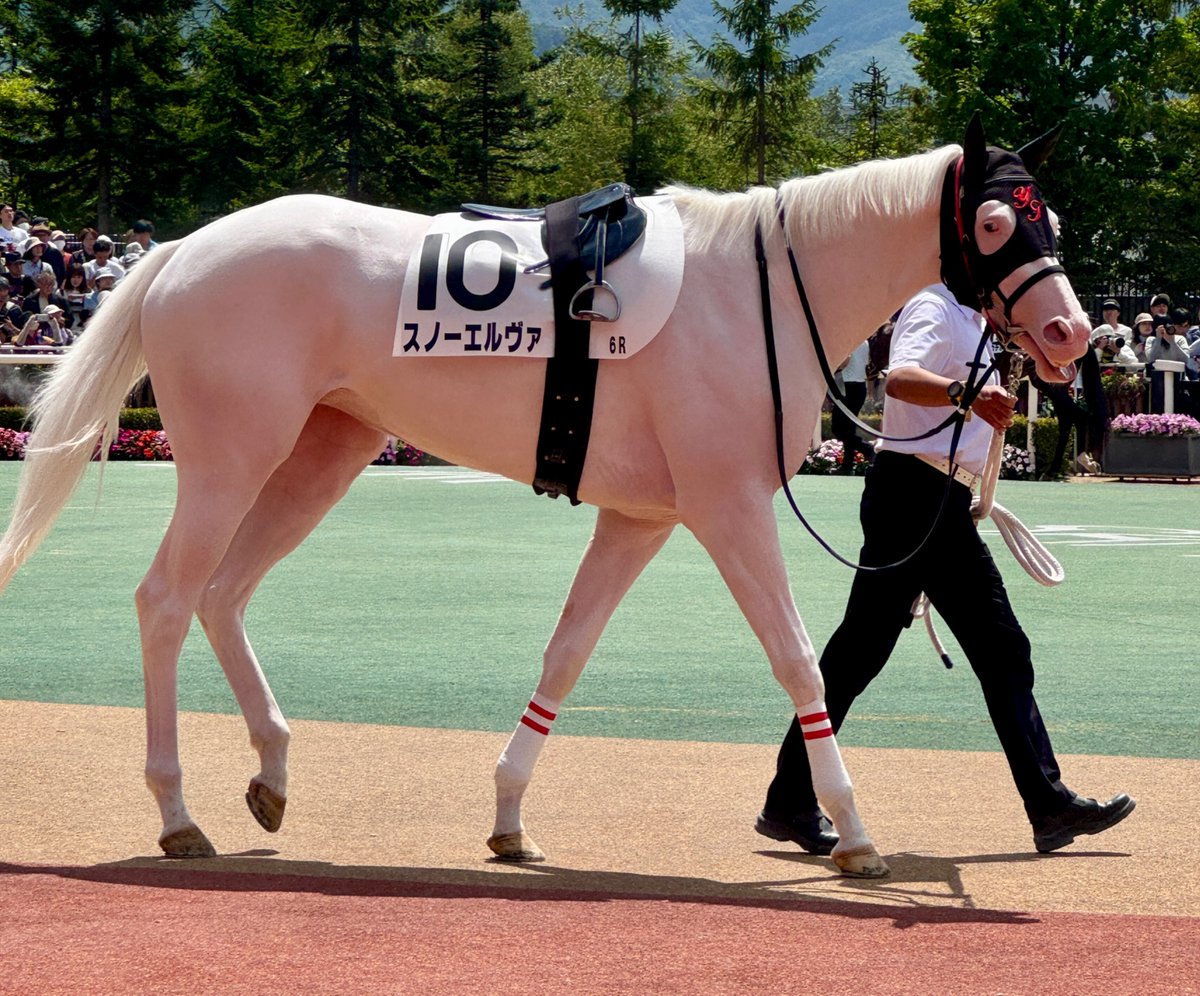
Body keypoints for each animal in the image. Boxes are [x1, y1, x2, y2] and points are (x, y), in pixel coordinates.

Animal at [0, 116, 1090, 878]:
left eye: (1052, 217)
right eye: (998, 220)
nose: (1074, 334)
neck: (759, 295)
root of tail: (179, 252)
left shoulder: (641, 517)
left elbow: (567, 652)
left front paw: (509, 818)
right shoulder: (729, 505)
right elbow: (799, 665)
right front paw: (855, 831)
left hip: (324, 451)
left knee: (224, 593)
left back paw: (269, 770)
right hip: (233, 456)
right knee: (167, 599)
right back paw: (177, 813)